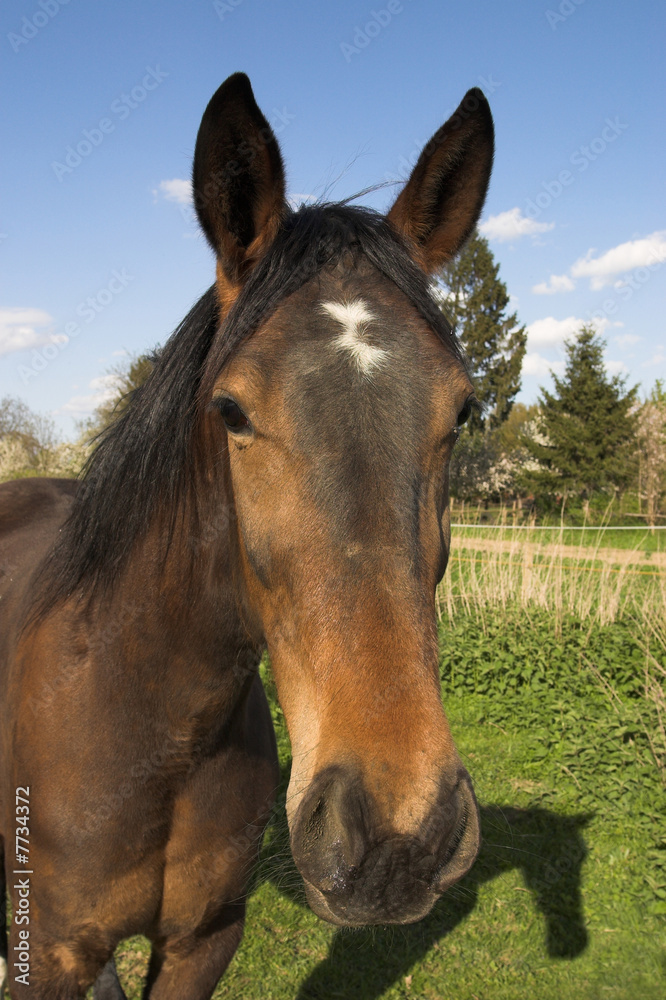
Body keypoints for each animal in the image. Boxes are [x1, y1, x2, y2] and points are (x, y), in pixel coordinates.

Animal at [0, 72, 494, 999]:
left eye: (463, 411)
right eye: (231, 411)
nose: (397, 837)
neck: (148, 729)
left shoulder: (204, 941)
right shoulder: (40, 955)